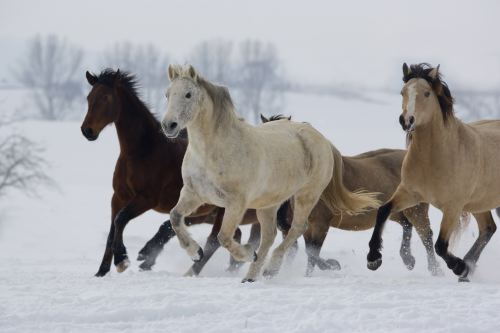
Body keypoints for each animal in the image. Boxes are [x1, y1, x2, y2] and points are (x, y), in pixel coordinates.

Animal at [81, 68, 282, 276]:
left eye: (106, 98)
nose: (87, 130)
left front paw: (122, 260)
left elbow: (120, 220)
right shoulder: (118, 197)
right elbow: (113, 230)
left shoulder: (146, 199)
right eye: (89, 97)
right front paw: (102, 271)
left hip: (223, 210)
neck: (143, 152)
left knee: (215, 240)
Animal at [160, 64, 378, 280]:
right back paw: (251, 276)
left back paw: (270, 268)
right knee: (270, 236)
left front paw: (247, 253)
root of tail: (323, 139)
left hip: (306, 196)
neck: (212, 152)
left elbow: (223, 237)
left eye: (188, 94)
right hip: (269, 204)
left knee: (297, 228)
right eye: (167, 94)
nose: (168, 125)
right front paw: (195, 252)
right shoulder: (194, 194)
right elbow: (175, 217)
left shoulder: (235, 203)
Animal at [258, 114, 442, 274]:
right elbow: (304, 250)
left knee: (426, 235)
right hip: (397, 210)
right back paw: (407, 259)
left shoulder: (320, 224)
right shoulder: (297, 227)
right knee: (407, 225)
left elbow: (312, 253)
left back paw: (434, 269)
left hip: (416, 210)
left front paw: (330, 266)